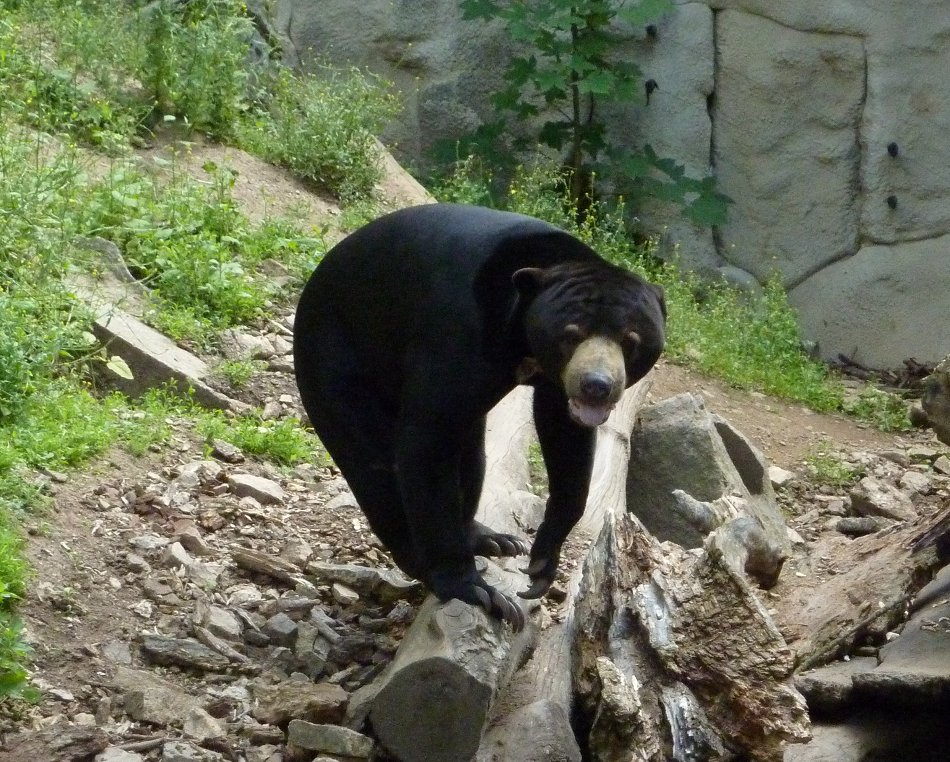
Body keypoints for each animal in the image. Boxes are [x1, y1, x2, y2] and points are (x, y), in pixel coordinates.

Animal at [294, 203, 664, 628]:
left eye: (631, 341)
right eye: (570, 334)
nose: (597, 385)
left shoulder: (555, 383)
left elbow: (564, 433)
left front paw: (541, 564)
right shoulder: (457, 332)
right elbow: (427, 440)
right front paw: (477, 592)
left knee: (471, 458)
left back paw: (491, 538)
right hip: (335, 364)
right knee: (375, 469)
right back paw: (420, 560)